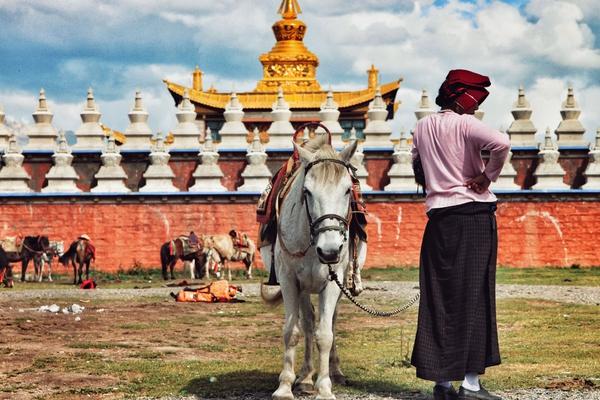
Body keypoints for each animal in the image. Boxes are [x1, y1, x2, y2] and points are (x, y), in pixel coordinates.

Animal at [260, 135, 358, 400]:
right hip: (303, 287)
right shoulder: (289, 280)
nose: (330, 251)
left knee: (329, 321)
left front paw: (324, 388)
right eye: (307, 191)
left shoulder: (333, 282)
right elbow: (292, 331)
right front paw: (285, 386)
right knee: (307, 322)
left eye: (348, 189)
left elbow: (325, 334)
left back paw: (335, 372)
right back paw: (304, 378)